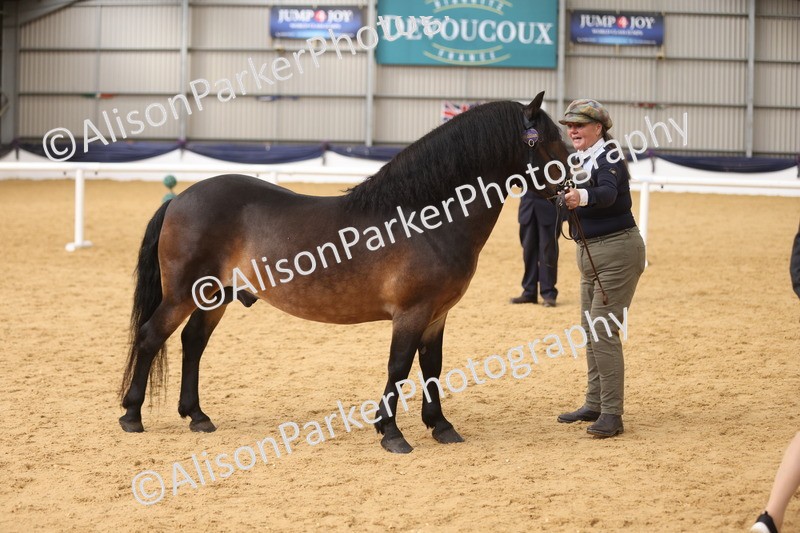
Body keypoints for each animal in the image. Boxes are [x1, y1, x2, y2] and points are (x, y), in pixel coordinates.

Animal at [118, 91, 571, 453]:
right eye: (550, 141)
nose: (572, 185)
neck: (426, 218)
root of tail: (180, 199)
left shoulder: (437, 316)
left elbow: (433, 368)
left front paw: (441, 426)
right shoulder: (411, 314)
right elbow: (399, 367)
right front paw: (391, 433)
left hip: (216, 296)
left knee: (193, 342)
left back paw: (197, 416)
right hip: (182, 294)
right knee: (152, 336)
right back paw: (132, 415)